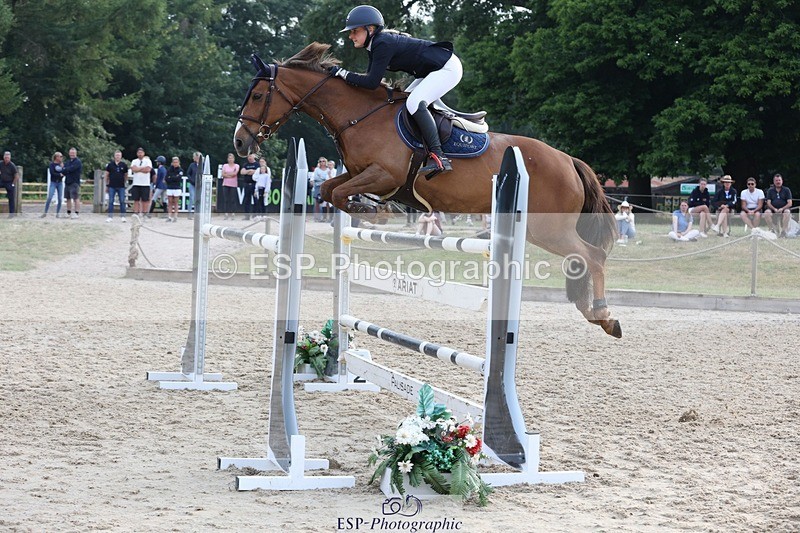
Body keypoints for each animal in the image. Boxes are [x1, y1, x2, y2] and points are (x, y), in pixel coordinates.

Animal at [234, 42, 621, 338]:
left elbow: (342, 195)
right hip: (544, 231)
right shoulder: (358, 174)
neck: (359, 114)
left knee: (592, 256)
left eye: (257, 95)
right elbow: (330, 191)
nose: (240, 143)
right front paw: (376, 211)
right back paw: (590, 311)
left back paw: (604, 315)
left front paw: (377, 212)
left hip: (548, 227)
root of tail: (569, 160)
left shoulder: (383, 175)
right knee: (580, 259)